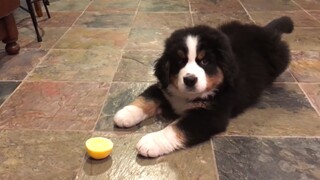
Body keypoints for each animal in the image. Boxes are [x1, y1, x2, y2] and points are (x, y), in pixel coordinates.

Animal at [114, 16, 294, 158]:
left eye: (205, 61)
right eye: (180, 61)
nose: (190, 79)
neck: (187, 96)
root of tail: (264, 30)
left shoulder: (210, 115)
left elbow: (177, 127)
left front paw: (152, 141)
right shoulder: (164, 88)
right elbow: (147, 98)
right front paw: (126, 113)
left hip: (282, 58)